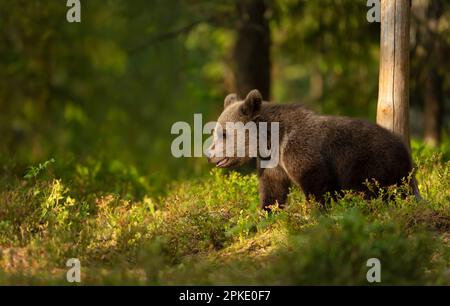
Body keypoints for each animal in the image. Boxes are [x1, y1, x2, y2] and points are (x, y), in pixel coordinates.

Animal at [207, 89, 418, 212]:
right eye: (215, 131)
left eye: (223, 133)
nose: (209, 154)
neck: (270, 142)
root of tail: (405, 149)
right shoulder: (273, 163)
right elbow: (273, 189)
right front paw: (266, 212)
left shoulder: (300, 152)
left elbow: (317, 183)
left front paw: (317, 210)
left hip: (369, 162)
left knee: (370, 188)